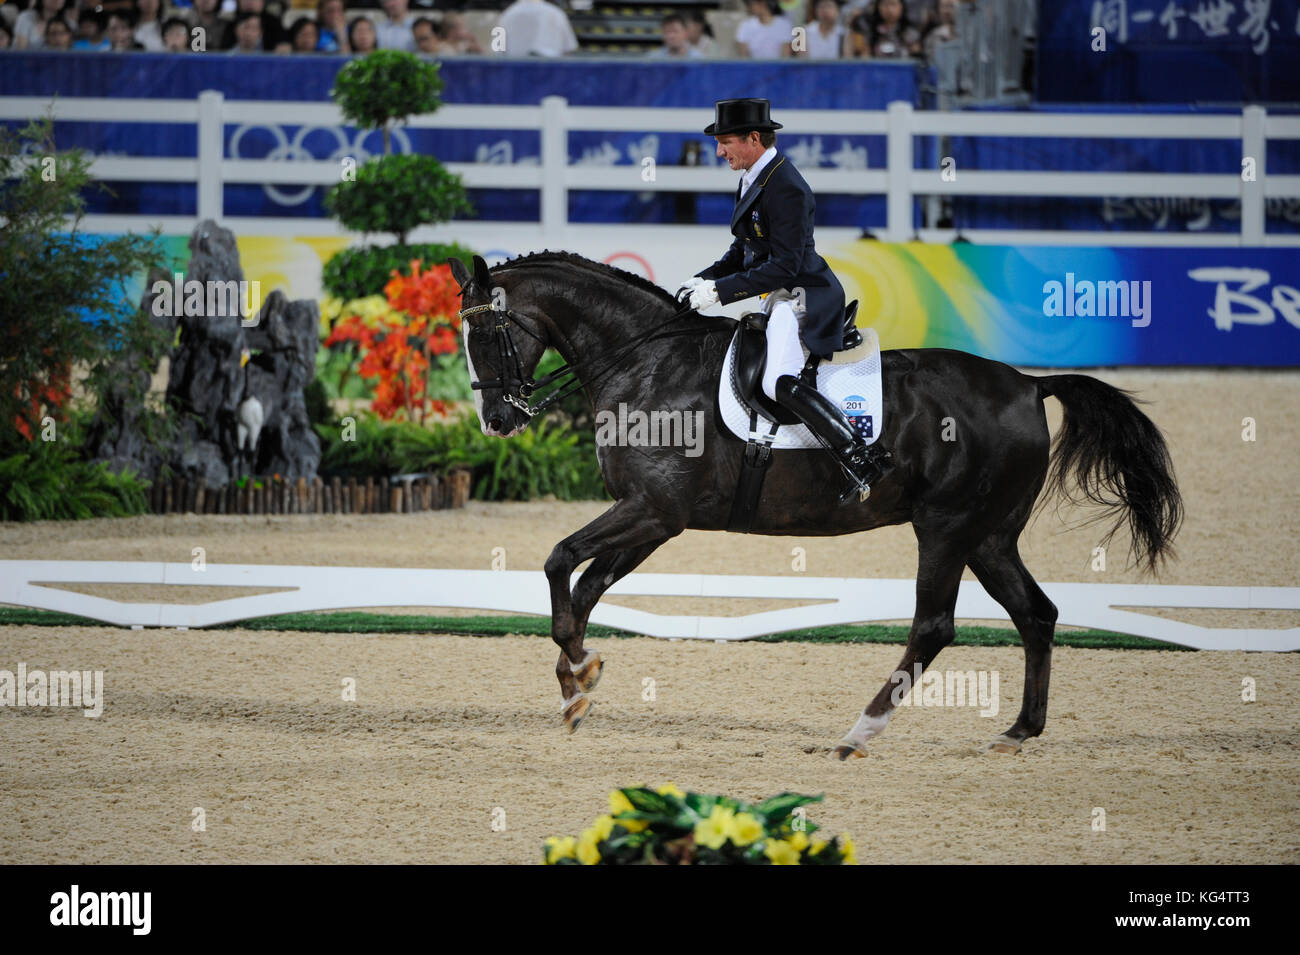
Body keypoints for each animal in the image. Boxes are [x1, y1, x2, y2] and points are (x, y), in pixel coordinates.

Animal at [444, 254, 1180, 764]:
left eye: (487, 338)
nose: (498, 420)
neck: (647, 362)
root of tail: (1028, 384)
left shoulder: (653, 510)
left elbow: (558, 559)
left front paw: (576, 675)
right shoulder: (655, 516)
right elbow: (586, 583)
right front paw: (578, 681)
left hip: (946, 529)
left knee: (934, 626)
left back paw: (858, 733)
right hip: (990, 536)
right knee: (1036, 614)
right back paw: (1018, 731)